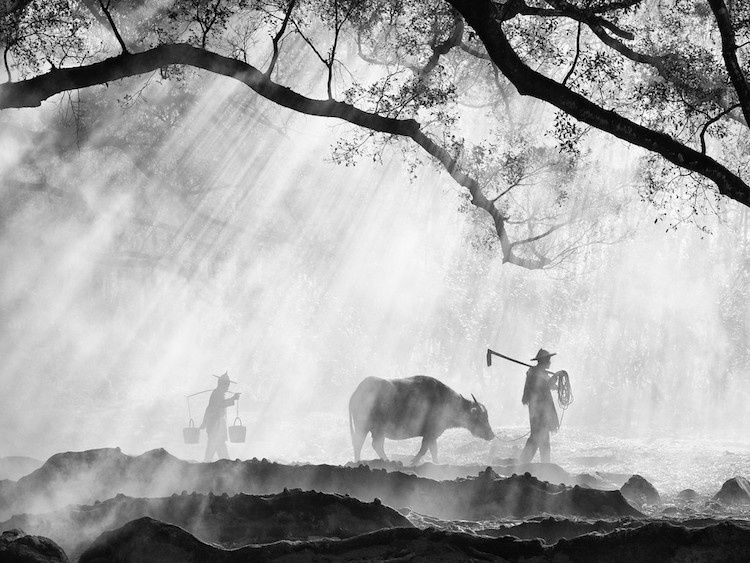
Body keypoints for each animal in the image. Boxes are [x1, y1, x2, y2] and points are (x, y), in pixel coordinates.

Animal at [350, 376, 496, 464]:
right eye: (481, 418)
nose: (491, 435)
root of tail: (355, 393)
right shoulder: (430, 434)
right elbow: (424, 450)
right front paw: (413, 462)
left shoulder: (432, 435)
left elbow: (433, 451)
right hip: (366, 428)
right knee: (364, 444)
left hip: (374, 430)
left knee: (372, 445)